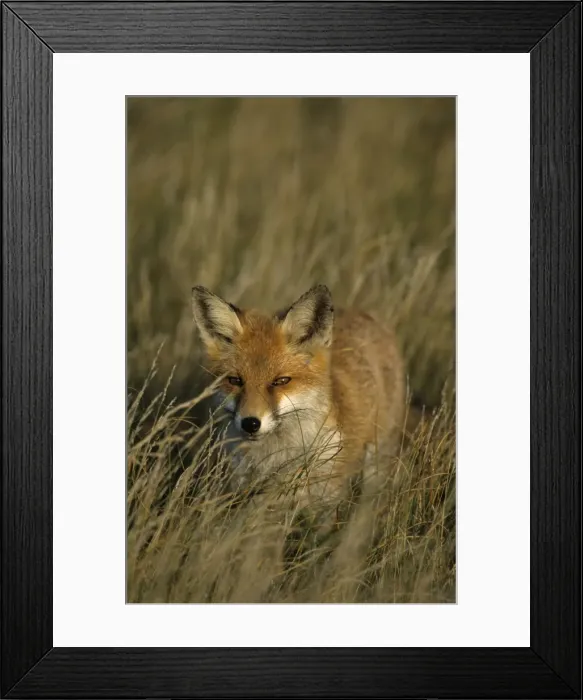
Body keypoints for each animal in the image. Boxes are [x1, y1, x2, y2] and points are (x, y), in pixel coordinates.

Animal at [191, 284, 405, 507]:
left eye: (281, 381)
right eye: (235, 381)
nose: (250, 423)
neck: (276, 458)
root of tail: (363, 313)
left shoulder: (328, 500)